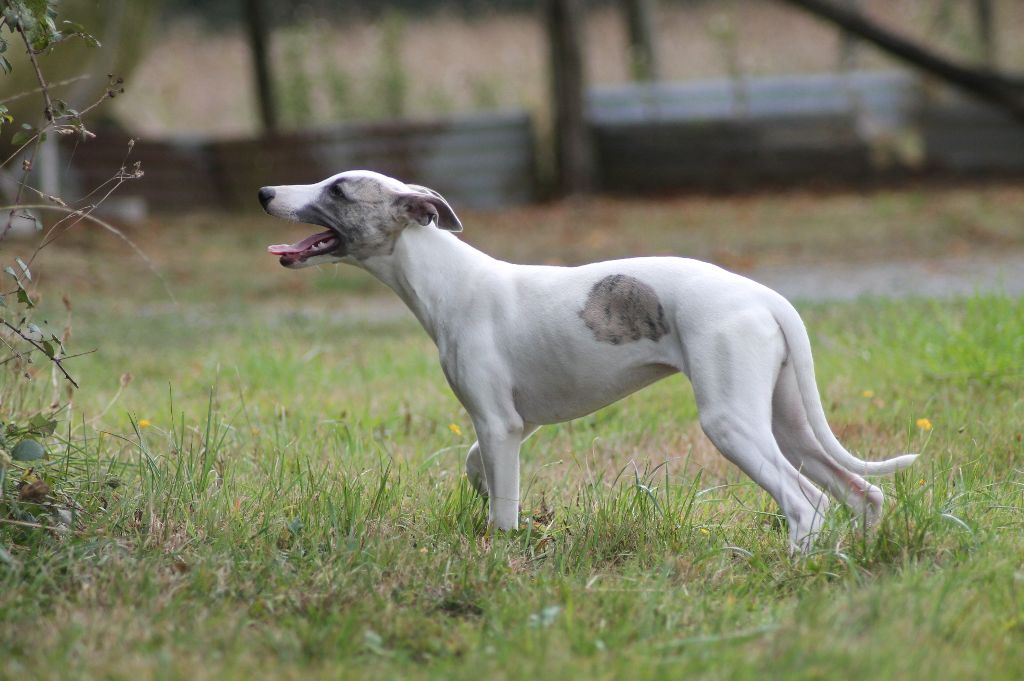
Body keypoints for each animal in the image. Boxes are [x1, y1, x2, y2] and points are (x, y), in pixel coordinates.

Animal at [258, 170, 916, 552]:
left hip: (732, 423)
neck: (448, 279)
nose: (265, 193)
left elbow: (502, 509)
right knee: (860, 494)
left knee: (805, 503)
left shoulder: (498, 423)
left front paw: (500, 555)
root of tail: (765, 297)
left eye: (338, 189)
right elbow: (478, 468)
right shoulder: (514, 424)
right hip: (788, 420)